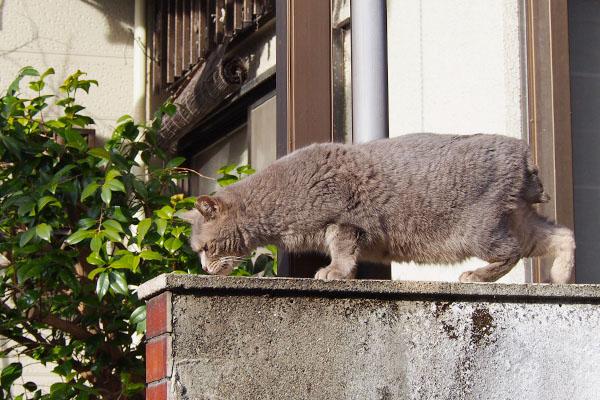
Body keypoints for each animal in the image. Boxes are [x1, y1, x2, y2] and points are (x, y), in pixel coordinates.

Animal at [182, 133, 576, 282]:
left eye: (205, 248)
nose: (203, 268)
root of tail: (523, 151)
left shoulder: (343, 221)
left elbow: (342, 251)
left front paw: (335, 272)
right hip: (519, 220)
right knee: (563, 235)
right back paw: (561, 276)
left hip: (479, 231)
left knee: (511, 253)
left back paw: (477, 276)